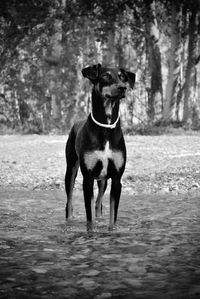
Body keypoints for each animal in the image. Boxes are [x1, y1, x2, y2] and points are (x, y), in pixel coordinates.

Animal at [65, 63, 135, 232]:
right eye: (106, 76)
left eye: (123, 77)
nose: (123, 88)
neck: (106, 127)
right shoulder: (88, 178)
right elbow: (89, 218)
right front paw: (91, 233)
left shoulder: (116, 178)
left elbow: (112, 216)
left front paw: (111, 231)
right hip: (71, 170)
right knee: (69, 202)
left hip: (103, 180)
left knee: (98, 203)